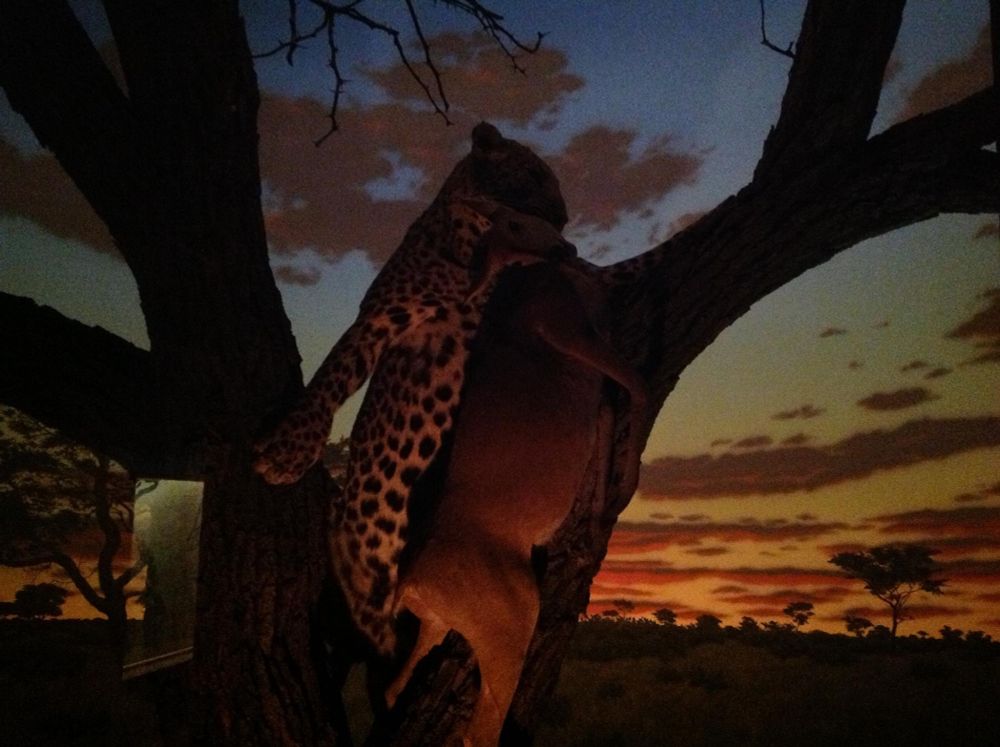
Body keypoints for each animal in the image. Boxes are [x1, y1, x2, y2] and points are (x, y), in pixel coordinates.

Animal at [253, 122, 573, 655]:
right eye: (532, 175)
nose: (567, 224)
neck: (471, 244)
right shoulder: (379, 320)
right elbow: (330, 379)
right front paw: (288, 452)